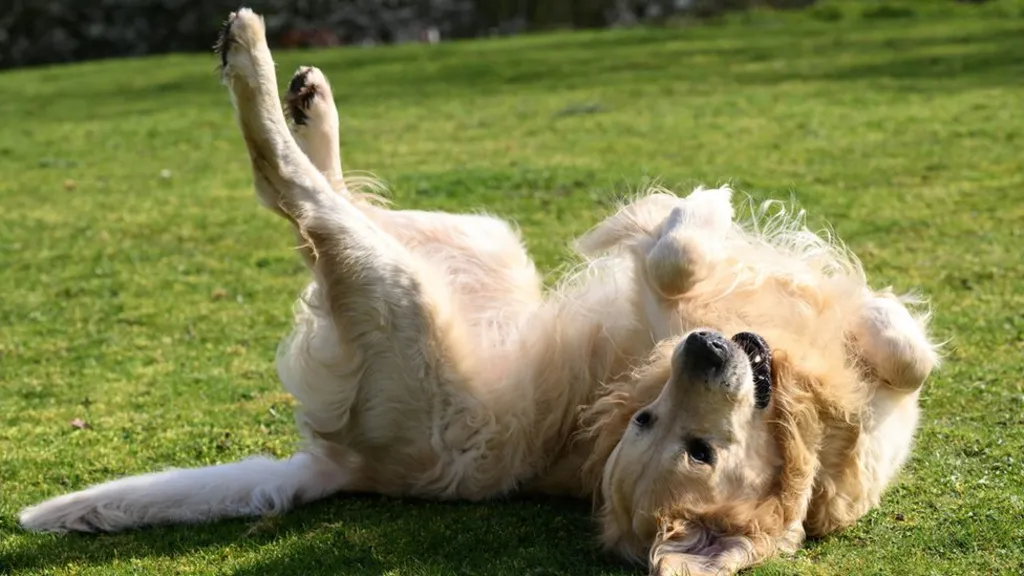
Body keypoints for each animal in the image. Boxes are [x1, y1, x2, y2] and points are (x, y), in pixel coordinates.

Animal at [18, 10, 942, 573]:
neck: (799, 413)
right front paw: (696, 221)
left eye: (696, 450)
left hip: (403, 284)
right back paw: (296, 92)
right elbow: (683, 265)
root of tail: (345, 465)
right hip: (477, 247)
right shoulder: (672, 318)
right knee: (315, 195)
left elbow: (892, 360)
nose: (707, 346)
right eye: (644, 418)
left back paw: (256, 64)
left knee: (298, 203)